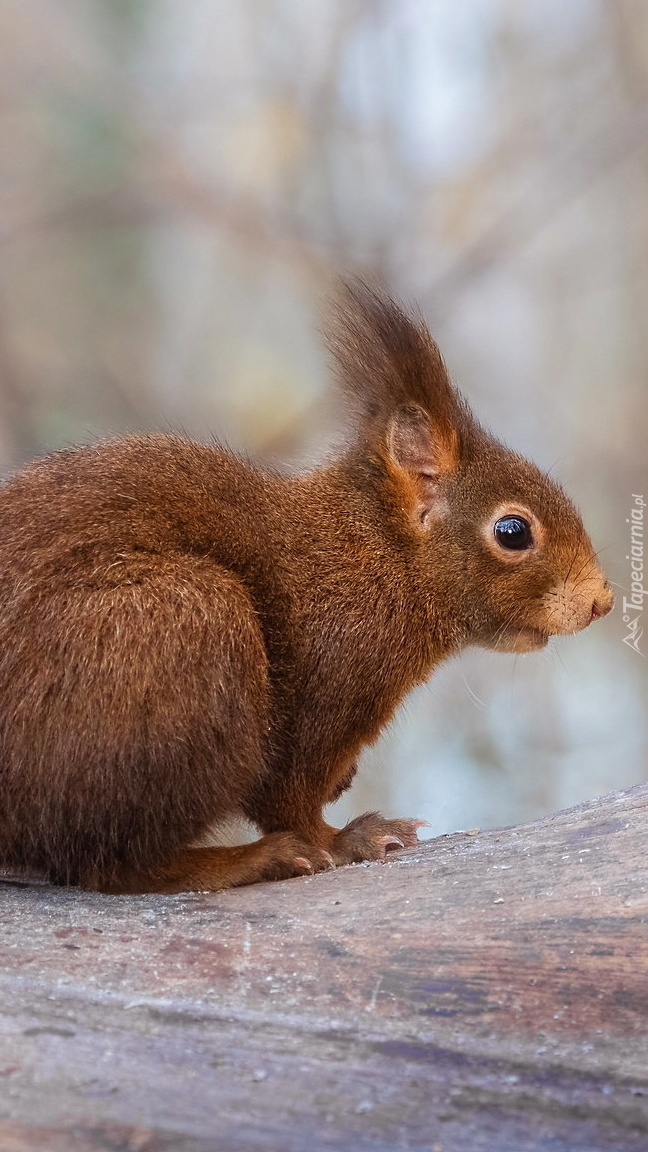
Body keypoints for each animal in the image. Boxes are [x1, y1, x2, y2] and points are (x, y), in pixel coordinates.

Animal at [0, 283, 608, 893]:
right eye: (513, 531)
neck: (375, 555)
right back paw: (250, 860)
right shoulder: (323, 685)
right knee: (107, 865)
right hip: (184, 633)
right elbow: (289, 796)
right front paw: (343, 839)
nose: (601, 600)